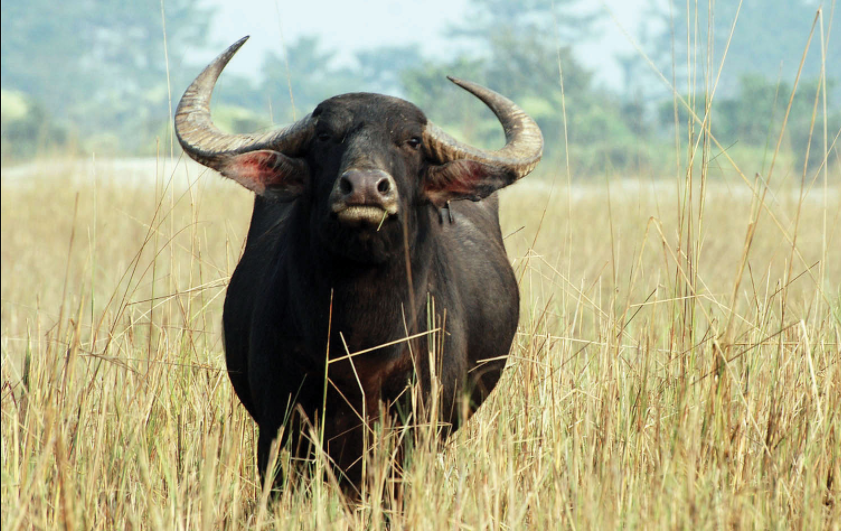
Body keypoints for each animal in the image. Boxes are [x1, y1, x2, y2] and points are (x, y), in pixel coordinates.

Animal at [176, 37, 544, 492]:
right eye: (325, 135)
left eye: (412, 140)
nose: (365, 187)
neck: (360, 339)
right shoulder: (278, 430)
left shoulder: (416, 430)